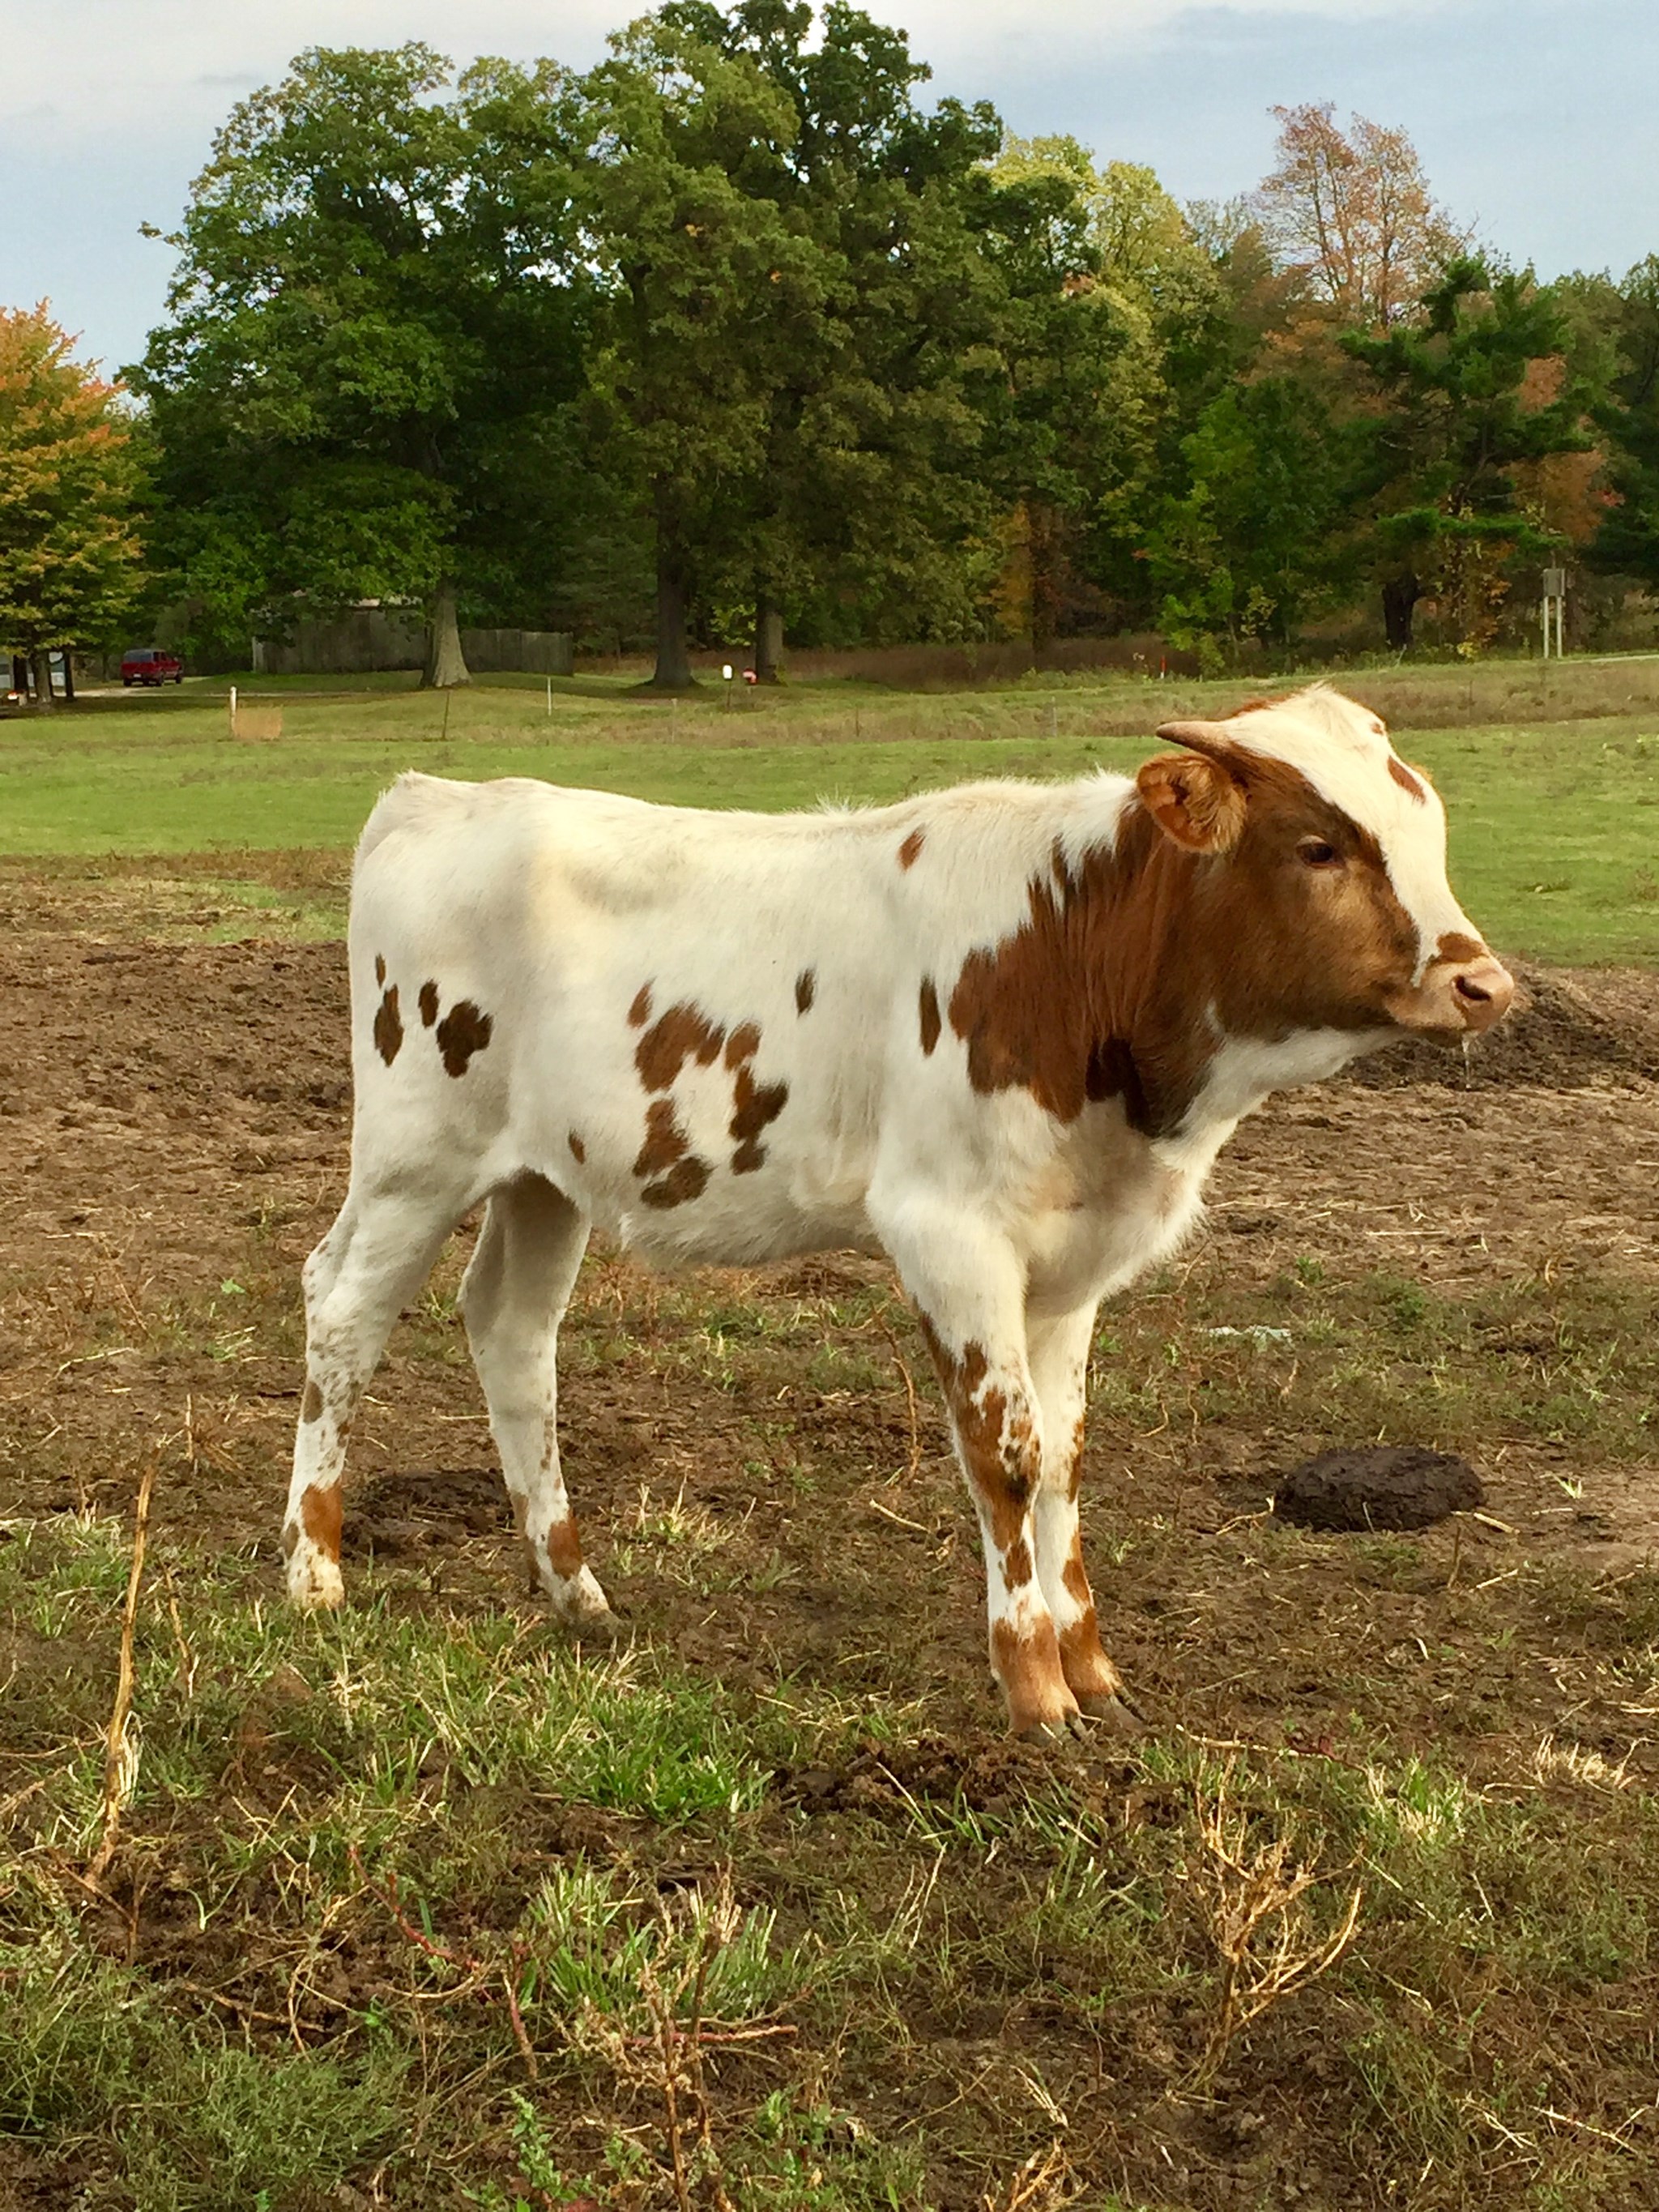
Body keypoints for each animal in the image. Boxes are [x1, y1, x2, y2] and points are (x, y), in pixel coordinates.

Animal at [282, 685, 1513, 1740]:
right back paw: (312, 1572)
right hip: (414, 1154)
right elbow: (1004, 1455)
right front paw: (1034, 1692)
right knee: (343, 1315)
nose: (1484, 982)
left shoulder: (1070, 1263)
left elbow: (1062, 1459)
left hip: (545, 1176)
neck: (1071, 959)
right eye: (1318, 846)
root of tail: (436, 796)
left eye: (1429, 825)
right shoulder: (947, 1232)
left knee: (512, 1331)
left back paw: (572, 1589)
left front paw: (1093, 1671)